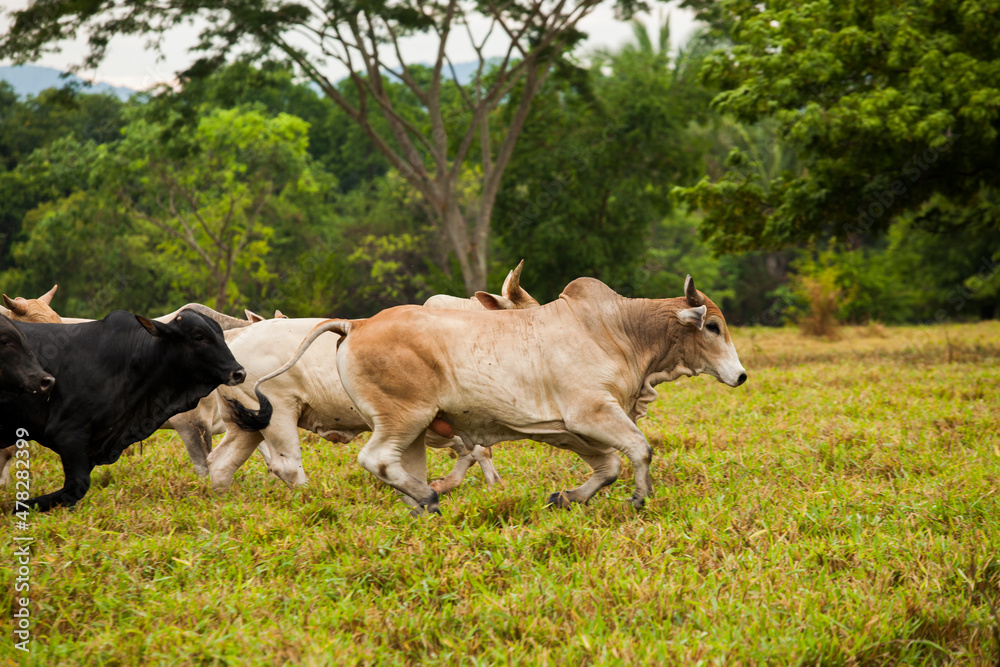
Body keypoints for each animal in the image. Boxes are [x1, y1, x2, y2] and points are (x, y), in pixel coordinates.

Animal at [0, 309, 245, 511]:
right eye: (199, 337)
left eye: (221, 334)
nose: (239, 372)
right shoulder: (68, 433)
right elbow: (76, 486)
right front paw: (21, 507)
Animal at [227, 275, 746, 514]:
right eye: (713, 327)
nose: (741, 376)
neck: (619, 330)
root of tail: (356, 324)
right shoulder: (593, 413)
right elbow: (639, 450)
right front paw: (639, 499)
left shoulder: (568, 429)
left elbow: (608, 465)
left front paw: (567, 497)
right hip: (401, 418)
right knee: (371, 460)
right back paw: (427, 496)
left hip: (413, 432)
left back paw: (424, 499)